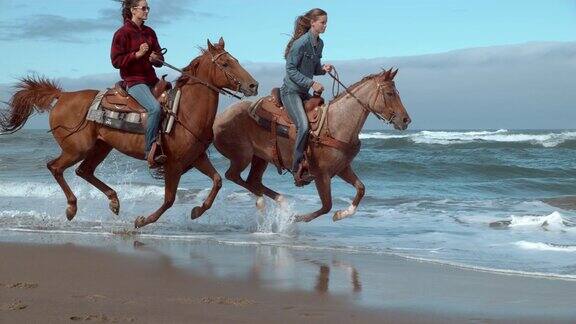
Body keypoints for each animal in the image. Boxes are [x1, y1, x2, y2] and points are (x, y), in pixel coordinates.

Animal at [1, 38, 258, 229]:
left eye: (235, 60)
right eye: (225, 64)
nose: (253, 85)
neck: (184, 111)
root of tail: (62, 96)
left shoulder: (196, 158)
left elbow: (217, 181)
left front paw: (197, 211)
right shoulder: (173, 163)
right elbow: (169, 199)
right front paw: (143, 220)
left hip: (101, 147)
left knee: (84, 171)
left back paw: (114, 202)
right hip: (77, 149)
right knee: (55, 167)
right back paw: (72, 208)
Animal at [213, 68, 410, 223]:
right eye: (390, 93)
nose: (406, 120)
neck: (336, 124)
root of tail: (219, 118)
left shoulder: (342, 168)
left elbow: (361, 189)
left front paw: (341, 214)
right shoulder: (321, 174)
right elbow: (326, 206)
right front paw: (297, 218)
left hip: (261, 157)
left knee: (253, 181)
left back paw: (279, 201)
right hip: (243, 155)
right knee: (232, 175)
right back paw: (272, 203)